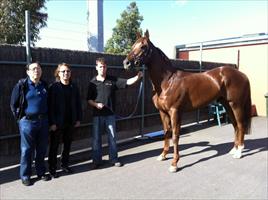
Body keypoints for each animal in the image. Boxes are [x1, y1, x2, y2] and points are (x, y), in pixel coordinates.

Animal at [123, 30, 251, 173]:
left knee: (240, 125)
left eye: (143, 46)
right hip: (227, 105)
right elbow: (166, 132)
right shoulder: (163, 112)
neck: (167, 82)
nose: (126, 63)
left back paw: (239, 152)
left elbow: (175, 135)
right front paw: (163, 155)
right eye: (133, 45)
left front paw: (174, 163)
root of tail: (242, 75)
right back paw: (234, 149)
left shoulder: (175, 112)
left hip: (236, 105)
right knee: (235, 125)